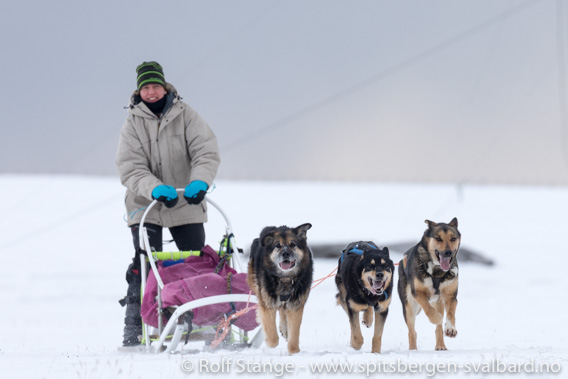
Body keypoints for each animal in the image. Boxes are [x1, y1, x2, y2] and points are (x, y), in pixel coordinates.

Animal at [246, 224, 312, 354]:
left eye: (292, 244)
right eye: (277, 245)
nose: (285, 253)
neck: (285, 279)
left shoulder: (295, 305)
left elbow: (293, 337)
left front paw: (294, 352)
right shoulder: (267, 304)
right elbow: (272, 339)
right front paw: (268, 340)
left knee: (282, 310)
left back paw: (284, 328)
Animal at [400, 218, 462, 352]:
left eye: (453, 238)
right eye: (438, 239)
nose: (448, 252)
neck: (437, 271)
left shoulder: (450, 295)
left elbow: (451, 314)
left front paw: (450, 328)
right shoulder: (418, 293)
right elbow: (429, 310)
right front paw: (437, 318)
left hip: (438, 302)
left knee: (438, 329)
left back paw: (440, 345)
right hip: (409, 306)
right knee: (412, 331)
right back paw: (413, 349)